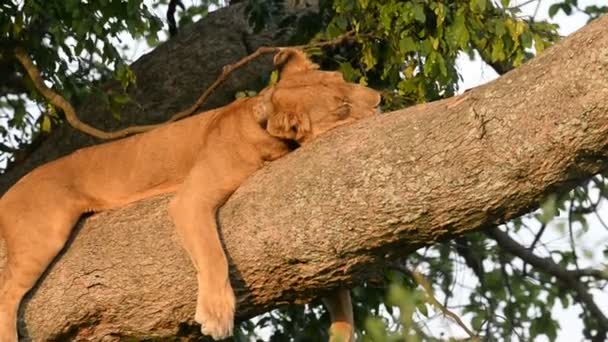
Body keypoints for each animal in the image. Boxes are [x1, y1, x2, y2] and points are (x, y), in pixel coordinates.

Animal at [0, 48, 380, 342]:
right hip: (43, 235)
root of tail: (9, 192)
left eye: (344, 80)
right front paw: (216, 313)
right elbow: (213, 254)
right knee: (6, 293)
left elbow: (334, 284)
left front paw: (342, 331)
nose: (379, 100)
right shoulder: (190, 199)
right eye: (342, 107)